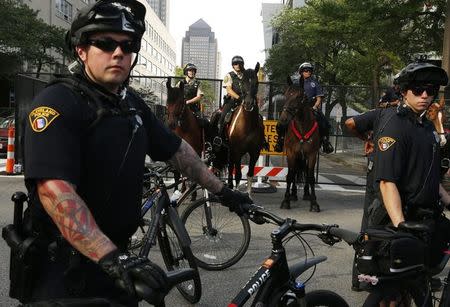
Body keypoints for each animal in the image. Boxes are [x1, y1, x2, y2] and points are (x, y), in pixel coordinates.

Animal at [224, 62, 264, 194]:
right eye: (243, 83)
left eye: (256, 83)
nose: (248, 103)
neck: (248, 125)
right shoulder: (237, 151)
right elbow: (238, 175)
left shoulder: (254, 153)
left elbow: (250, 175)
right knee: (231, 166)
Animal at [280, 76, 322, 213]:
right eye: (286, 95)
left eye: (299, 97)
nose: (283, 119)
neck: (303, 127)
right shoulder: (291, 153)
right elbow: (290, 175)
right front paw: (286, 201)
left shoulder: (312, 154)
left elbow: (311, 177)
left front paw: (314, 203)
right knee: (295, 172)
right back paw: (293, 195)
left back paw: (307, 194)